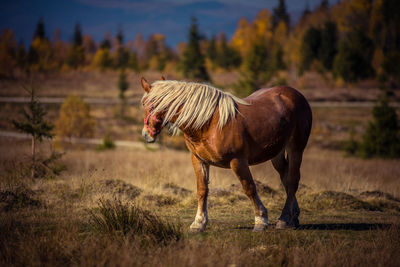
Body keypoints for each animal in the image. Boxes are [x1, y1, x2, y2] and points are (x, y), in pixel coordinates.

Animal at [141, 77, 312, 232]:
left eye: (149, 104)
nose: (146, 135)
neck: (209, 123)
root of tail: (296, 94)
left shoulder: (238, 161)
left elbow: (249, 188)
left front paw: (260, 220)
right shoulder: (199, 160)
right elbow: (202, 190)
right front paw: (199, 223)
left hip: (296, 148)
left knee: (292, 180)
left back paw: (284, 219)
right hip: (277, 153)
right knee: (285, 178)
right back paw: (293, 217)